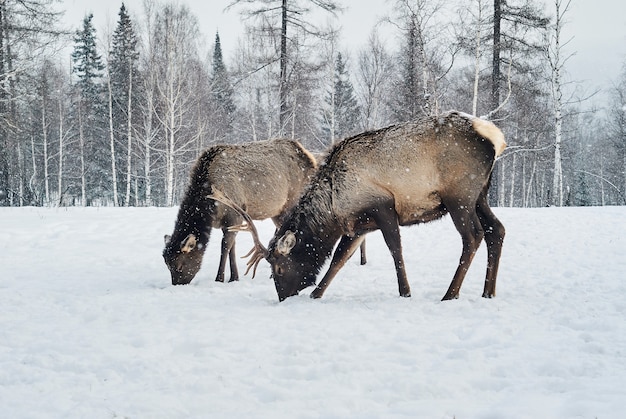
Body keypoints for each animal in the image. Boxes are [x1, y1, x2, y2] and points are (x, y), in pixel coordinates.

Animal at [162, 139, 314, 288]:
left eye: (180, 266)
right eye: (167, 265)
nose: (177, 285)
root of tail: (310, 160)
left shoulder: (234, 215)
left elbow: (225, 246)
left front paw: (219, 279)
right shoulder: (228, 222)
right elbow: (232, 247)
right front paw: (234, 277)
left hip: (292, 202)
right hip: (277, 212)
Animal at [210, 111, 502, 302]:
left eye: (279, 268)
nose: (283, 297)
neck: (333, 207)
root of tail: (495, 138)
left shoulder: (384, 207)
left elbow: (395, 249)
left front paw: (405, 291)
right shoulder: (358, 225)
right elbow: (339, 259)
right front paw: (317, 293)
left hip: (459, 196)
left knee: (473, 235)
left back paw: (450, 294)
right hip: (480, 195)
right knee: (496, 230)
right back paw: (488, 291)